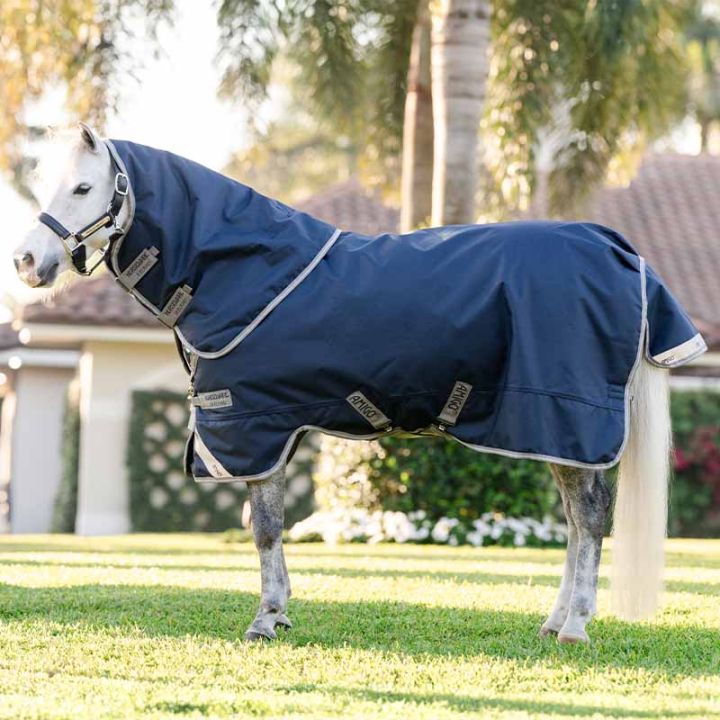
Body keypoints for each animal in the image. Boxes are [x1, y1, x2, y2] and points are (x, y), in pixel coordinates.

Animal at [13, 123, 706, 644]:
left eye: (84, 186)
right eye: (47, 184)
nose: (25, 262)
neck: (241, 272)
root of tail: (620, 251)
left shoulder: (254, 428)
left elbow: (263, 528)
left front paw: (266, 620)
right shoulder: (270, 431)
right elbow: (266, 527)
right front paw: (279, 614)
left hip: (567, 421)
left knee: (589, 520)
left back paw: (574, 627)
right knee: (576, 521)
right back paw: (555, 621)